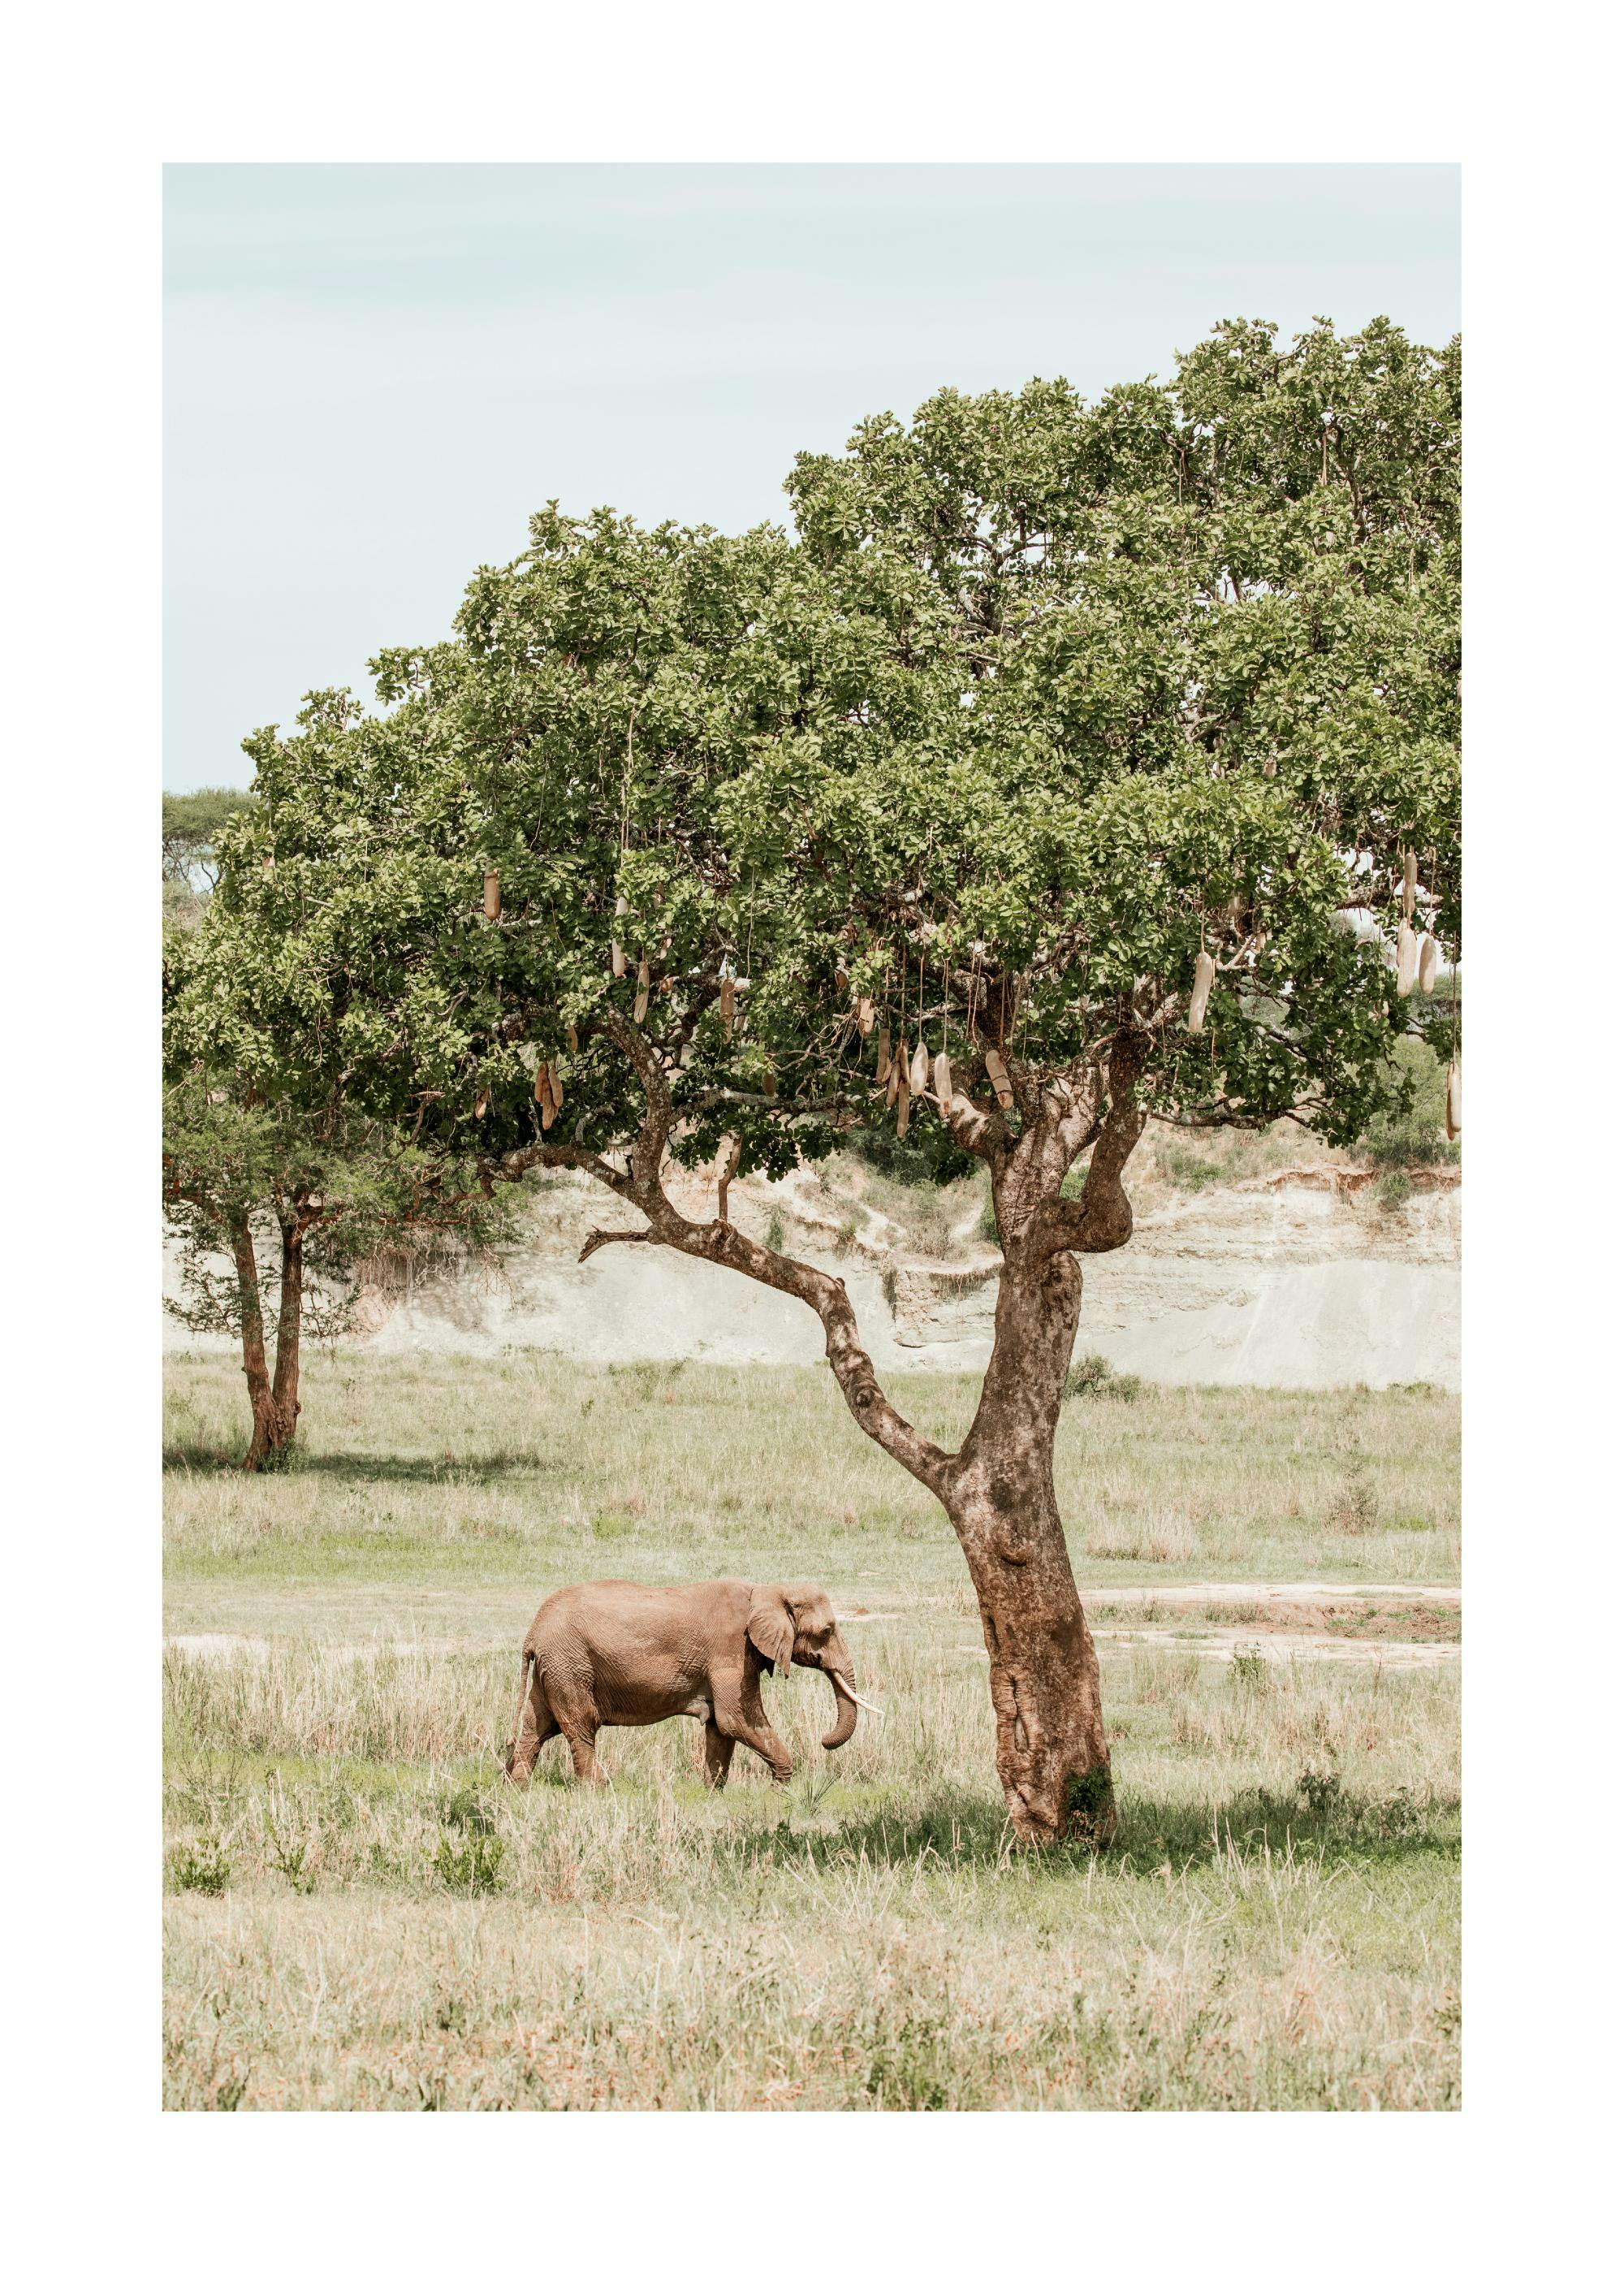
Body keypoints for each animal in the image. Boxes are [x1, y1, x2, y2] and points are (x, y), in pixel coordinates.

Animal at [502, 1577, 879, 1789]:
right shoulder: (731, 1649)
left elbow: (721, 1728)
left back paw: (517, 1786)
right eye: (827, 1631)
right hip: (570, 1663)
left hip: (555, 1666)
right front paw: (781, 1790)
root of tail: (533, 1632)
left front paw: (712, 1793)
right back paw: (597, 1789)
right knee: (580, 1726)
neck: (768, 1590)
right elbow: (736, 1719)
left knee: (538, 1725)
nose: (824, 1740)